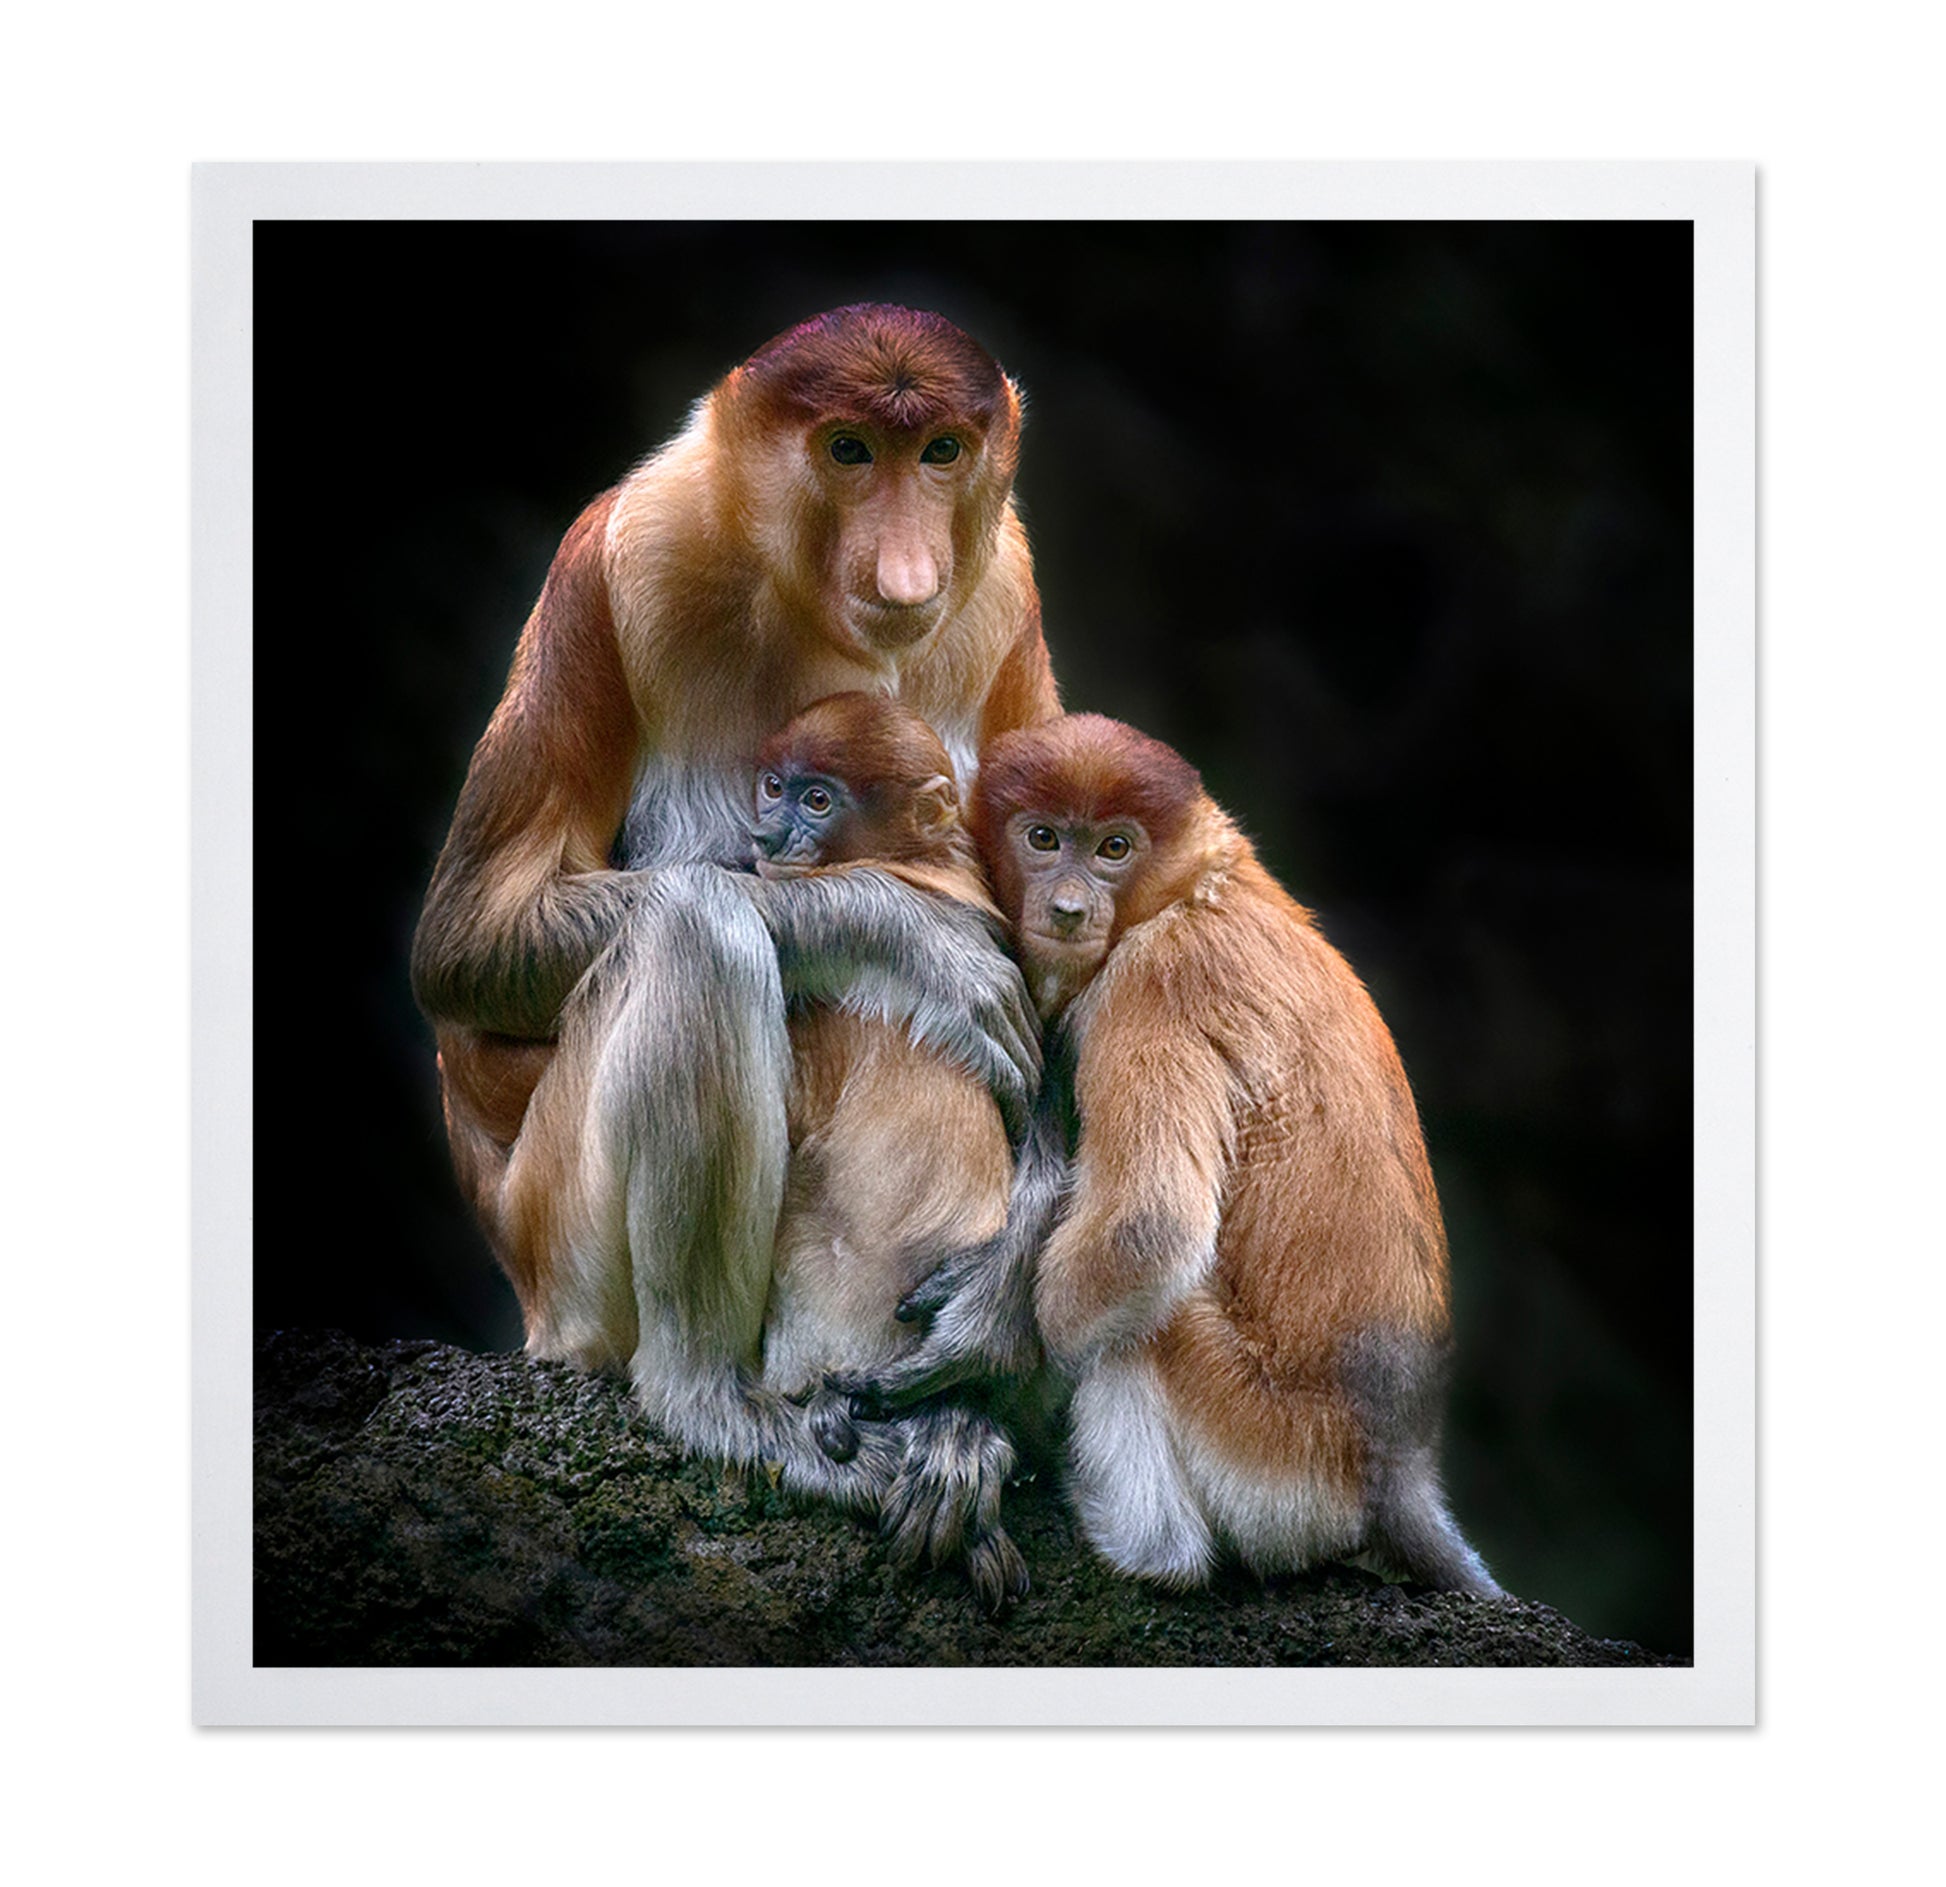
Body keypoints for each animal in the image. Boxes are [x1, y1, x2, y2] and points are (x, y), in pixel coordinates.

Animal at [939, 712, 1503, 1596]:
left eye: (1114, 847)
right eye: (1043, 837)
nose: (1067, 909)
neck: (1193, 889)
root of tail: (1395, 1464)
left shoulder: (1154, 982)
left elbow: (1148, 1229)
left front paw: (990, 1384)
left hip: (1271, 1455)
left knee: (1146, 1323)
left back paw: (1146, 1549)